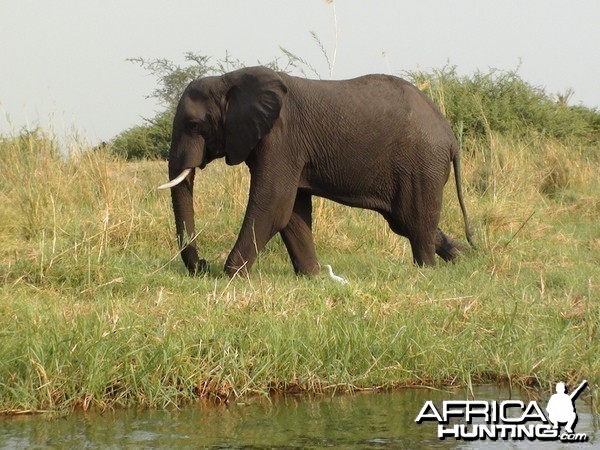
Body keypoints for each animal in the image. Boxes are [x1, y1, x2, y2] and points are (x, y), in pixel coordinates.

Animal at [158, 66, 474, 278]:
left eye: (194, 125)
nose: (202, 266)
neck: (228, 80)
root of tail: (450, 136)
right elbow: (292, 211)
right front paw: (312, 277)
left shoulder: (282, 138)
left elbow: (273, 203)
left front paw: (231, 275)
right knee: (406, 221)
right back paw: (464, 257)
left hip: (422, 165)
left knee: (416, 221)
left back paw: (427, 270)